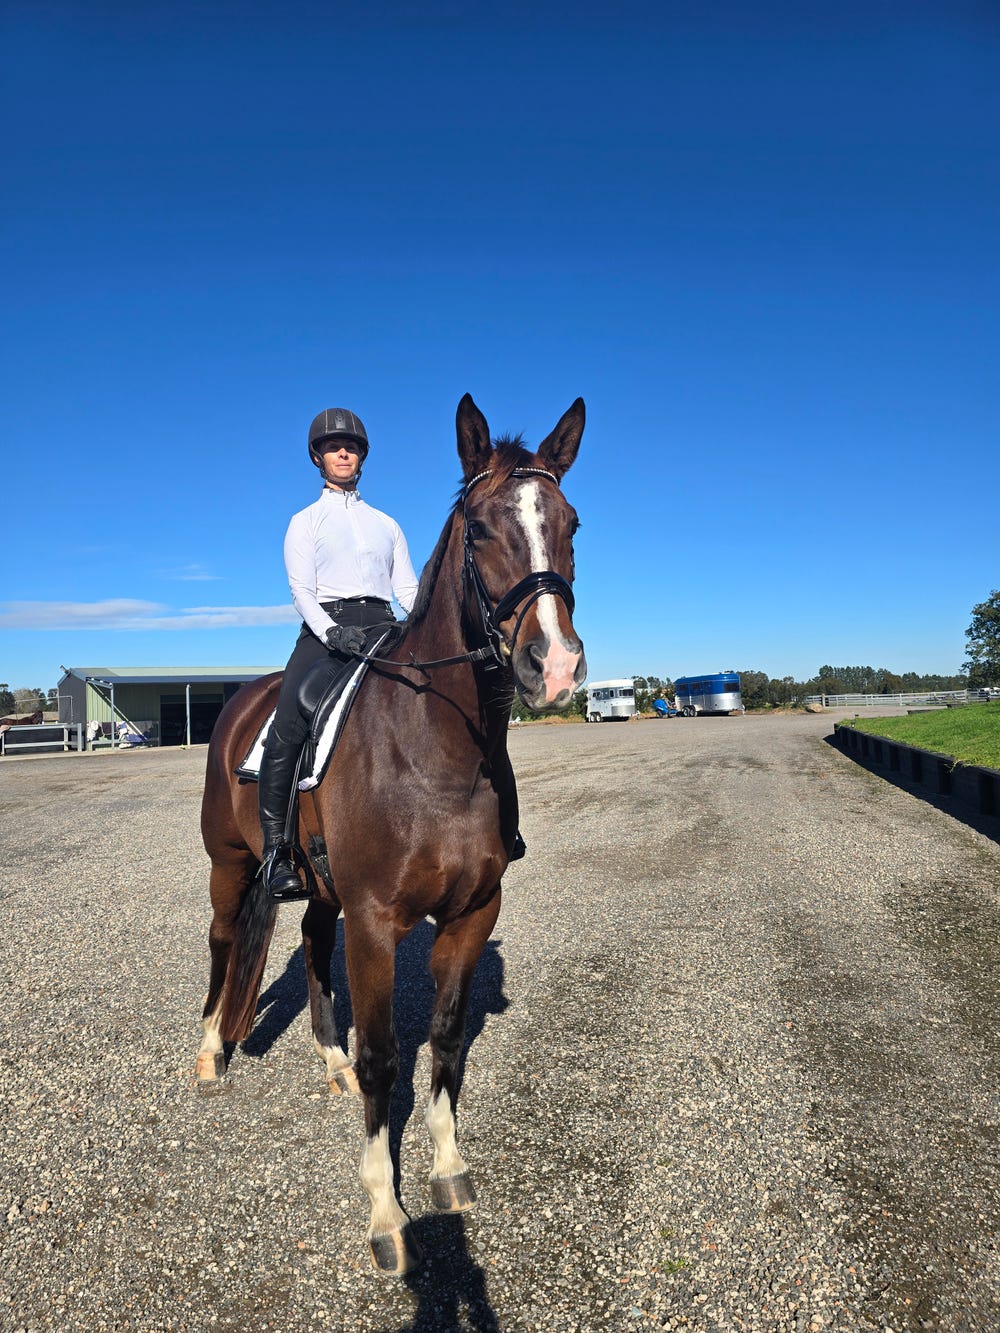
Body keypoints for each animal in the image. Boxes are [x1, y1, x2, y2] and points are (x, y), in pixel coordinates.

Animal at [195, 393, 586, 1274]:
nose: (554, 666)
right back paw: (206, 1052)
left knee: (310, 942)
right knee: (223, 939)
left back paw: (328, 1060)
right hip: (230, 864)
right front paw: (384, 1211)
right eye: (481, 527)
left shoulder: (474, 911)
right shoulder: (376, 921)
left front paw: (446, 1166)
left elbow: (443, 1038)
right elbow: (385, 1055)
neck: (435, 750)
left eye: (571, 522)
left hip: (315, 882)